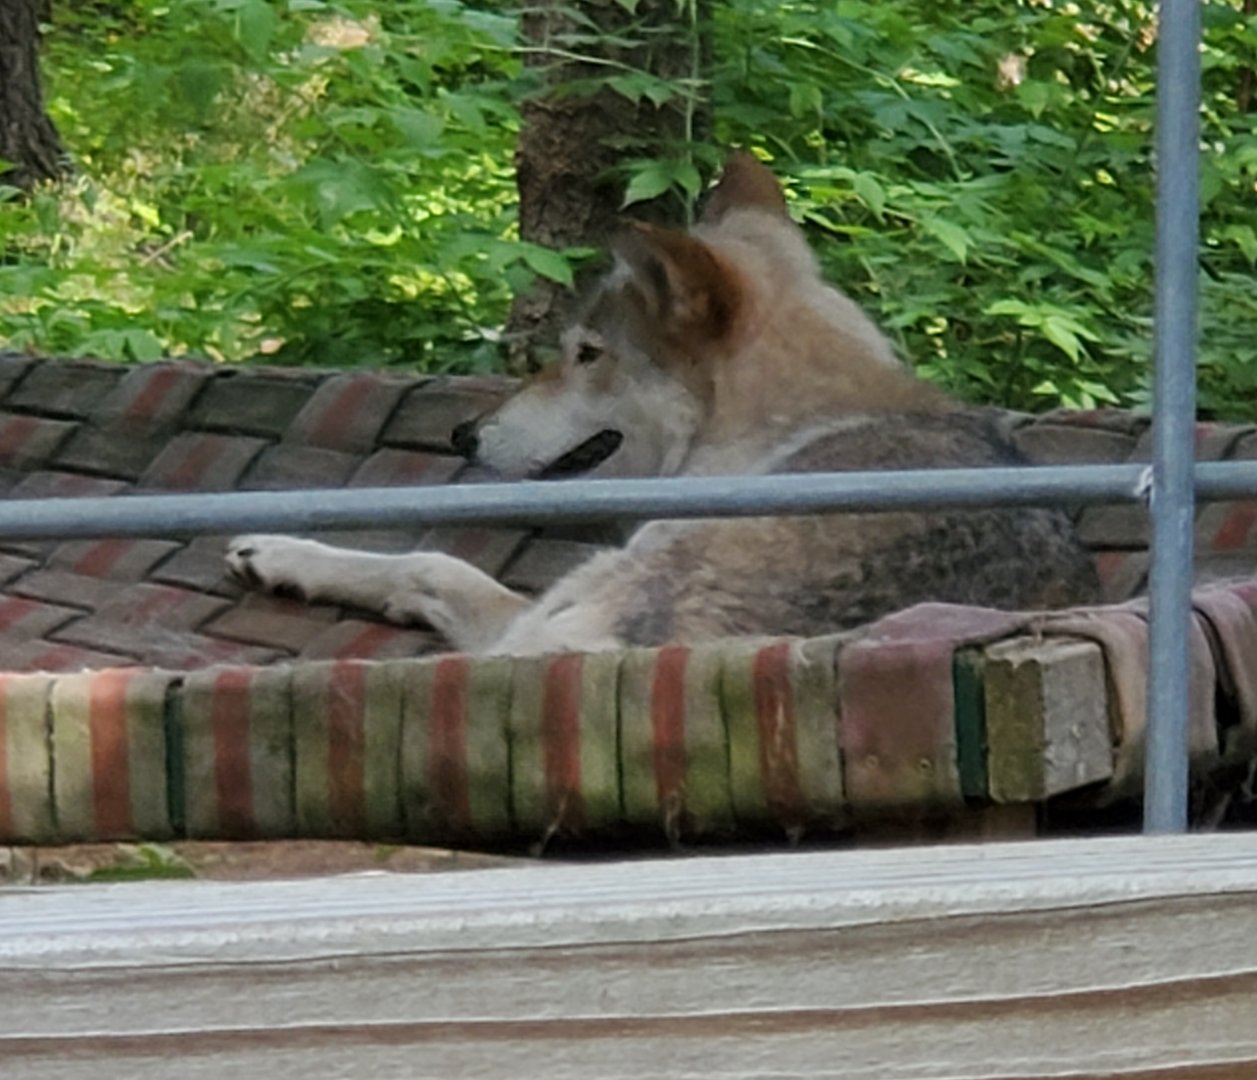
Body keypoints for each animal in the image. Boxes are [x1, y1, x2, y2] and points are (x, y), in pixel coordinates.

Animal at [226, 154, 1099, 655]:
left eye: (585, 353)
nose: (462, 432)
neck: (771, 435)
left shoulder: (525, 617)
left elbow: (430, 563)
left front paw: (286, 553)